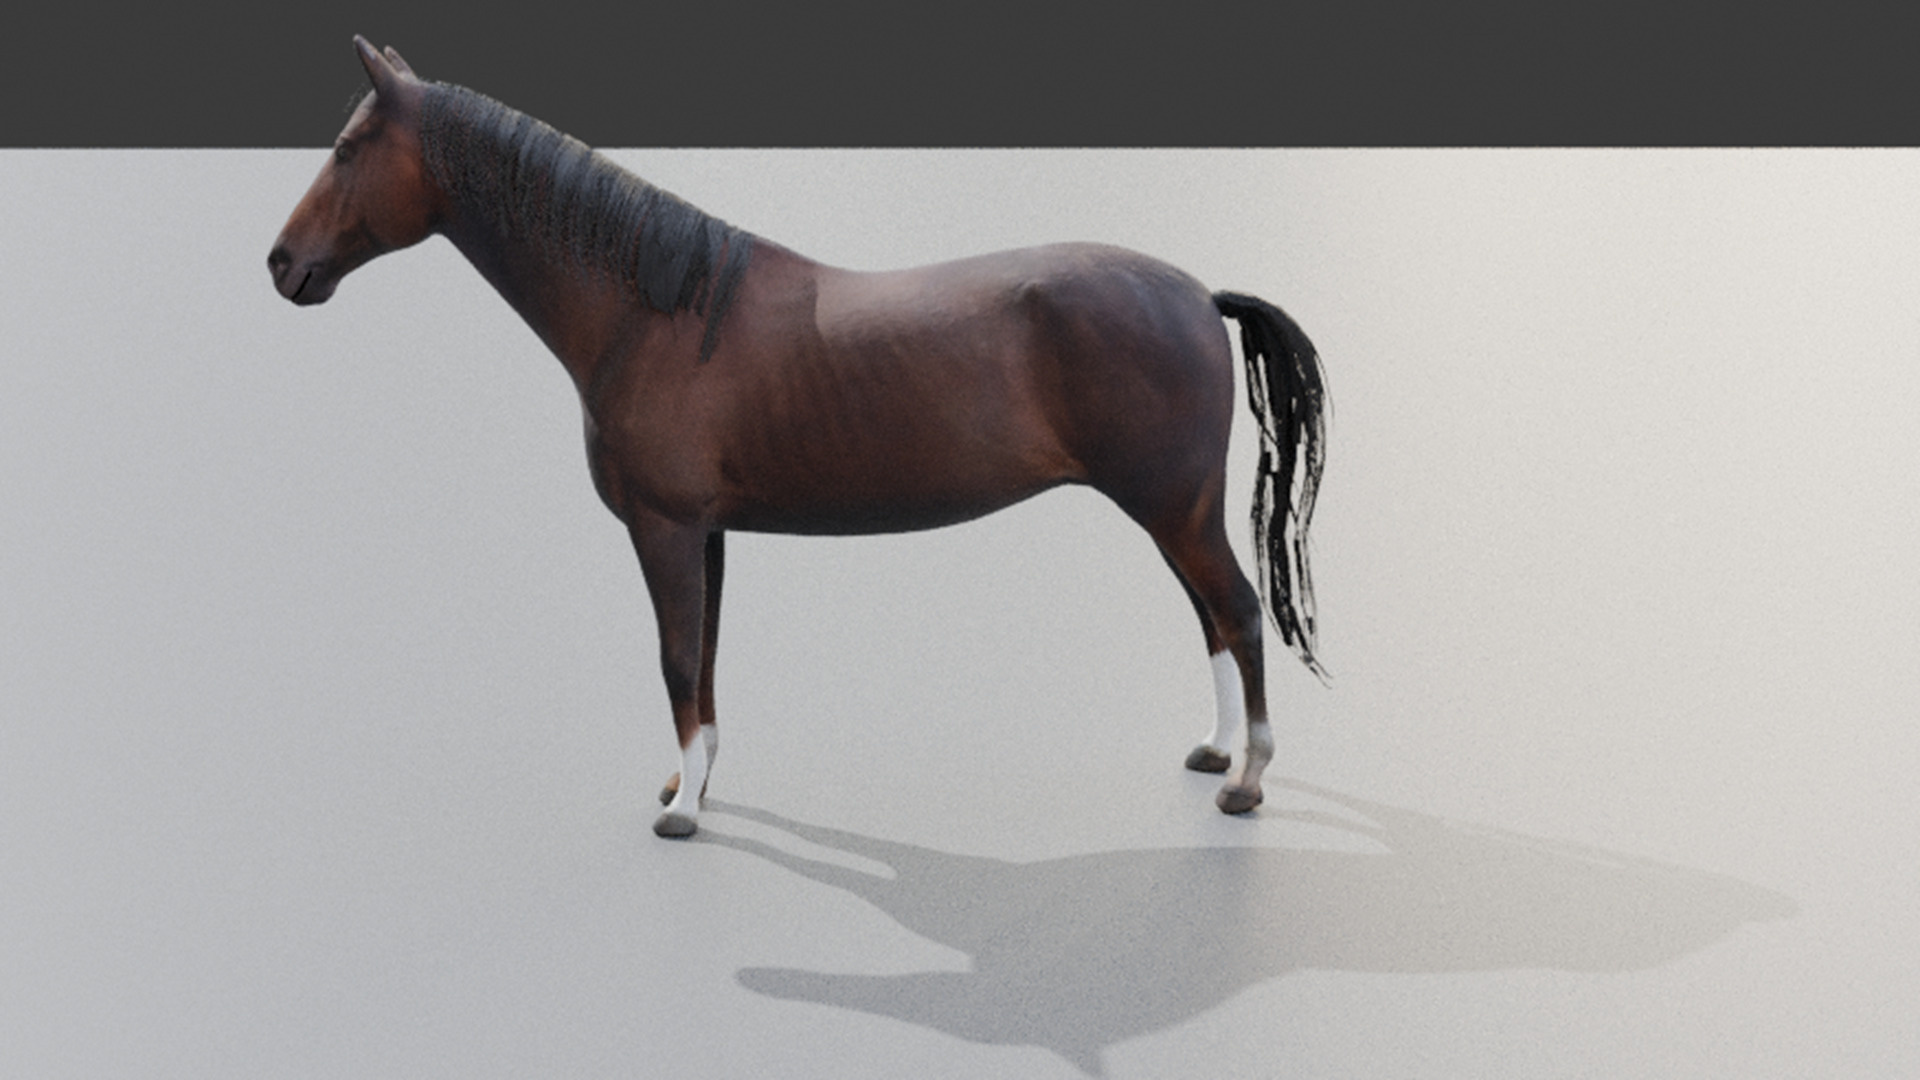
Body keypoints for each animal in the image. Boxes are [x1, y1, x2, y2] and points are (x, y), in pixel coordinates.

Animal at [268, 36, 1329, 839]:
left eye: (349, 146)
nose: (281, 264)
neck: (657, 310)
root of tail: (1200, 295)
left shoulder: (662, 529)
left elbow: (675, 658)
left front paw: (682, 813)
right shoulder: (705, 533)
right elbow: (703, 656)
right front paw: (690, 780)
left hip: (1173, 508)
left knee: (1236, 613)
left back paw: (1246, 783)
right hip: (1171, 512)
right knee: (1211, 619)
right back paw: (1214, 755)